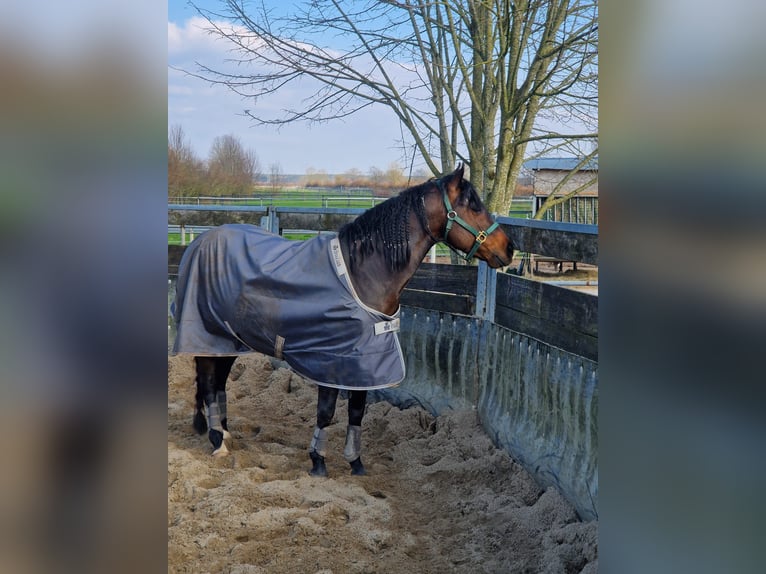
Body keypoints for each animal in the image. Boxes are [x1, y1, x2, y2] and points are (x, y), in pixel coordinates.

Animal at [171, 163, 513, 477]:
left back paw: (225, 431)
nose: (509, 248)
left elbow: (357, 412)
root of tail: (199, 243)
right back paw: (217, 440)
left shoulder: (363, 363)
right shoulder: (331, 361)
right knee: (209, 383)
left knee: (218, 383)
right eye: (473, 204)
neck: (363, 274)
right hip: (209, 336)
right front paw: (318, 462)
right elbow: (326, 413)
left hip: (229, 341)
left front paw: (355, 462)